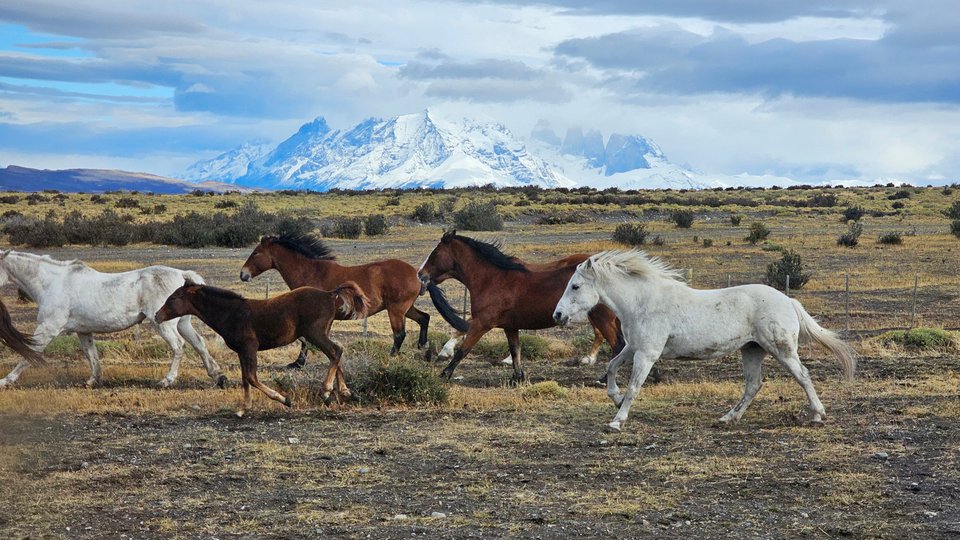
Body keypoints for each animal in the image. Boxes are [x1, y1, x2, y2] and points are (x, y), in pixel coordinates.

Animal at [0, 250, 225, 389]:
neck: (52, 283)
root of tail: (182, 275)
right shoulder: (83, 331)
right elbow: (91, 355)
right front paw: (93, 381)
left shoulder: (48, 329)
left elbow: (28, 353)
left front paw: (6, 381)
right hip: (182, 323)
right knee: (199, 344)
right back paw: (218, 376)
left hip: (163, 324)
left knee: (178, 346)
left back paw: (166, 381)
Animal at [155, 281, 369, 417]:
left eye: (173, 298)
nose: (157, 315)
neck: (232, 313)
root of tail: (329, 294)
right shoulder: (241, 351)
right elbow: (245, 378)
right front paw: (244, 408)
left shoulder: (249, 347)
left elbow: (251, 377)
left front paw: (284, 400)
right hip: (321, 333)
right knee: (337, 353)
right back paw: (345, 391)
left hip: (314, 334)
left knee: (335, 351)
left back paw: (326, 391)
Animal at [240, 233, 429, 368]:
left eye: (255, 253)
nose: (243, 274)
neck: (312, 273)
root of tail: (416, 273)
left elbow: (305, 340)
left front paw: (298, 363)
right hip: (405, 308)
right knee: (424, 318)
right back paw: (423, 347)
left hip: (396, 309)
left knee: (399, 334)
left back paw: (391, 357)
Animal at [418, 231, 623, 384]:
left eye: (435, 253)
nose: (420, 274)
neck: (492, 279)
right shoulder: (510, 326)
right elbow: (515, 350)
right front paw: (517, 378)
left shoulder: (482, 323)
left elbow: (463, 349)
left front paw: (444, 374)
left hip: (602, 318)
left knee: (617, 345)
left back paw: (605, 378)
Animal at [553, 250, 857, 432]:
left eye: (575, 286)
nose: (557, 315)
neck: (642, 301)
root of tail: (788, 300)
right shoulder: (633, 347)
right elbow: (611, 367)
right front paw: (615, 400)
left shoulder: (647, 354)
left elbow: (634, 387)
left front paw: (617, 421)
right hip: (752, 350)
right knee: (753, 384)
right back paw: (728, 418)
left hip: (781, 349)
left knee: (802, 375)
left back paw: (817, 414)